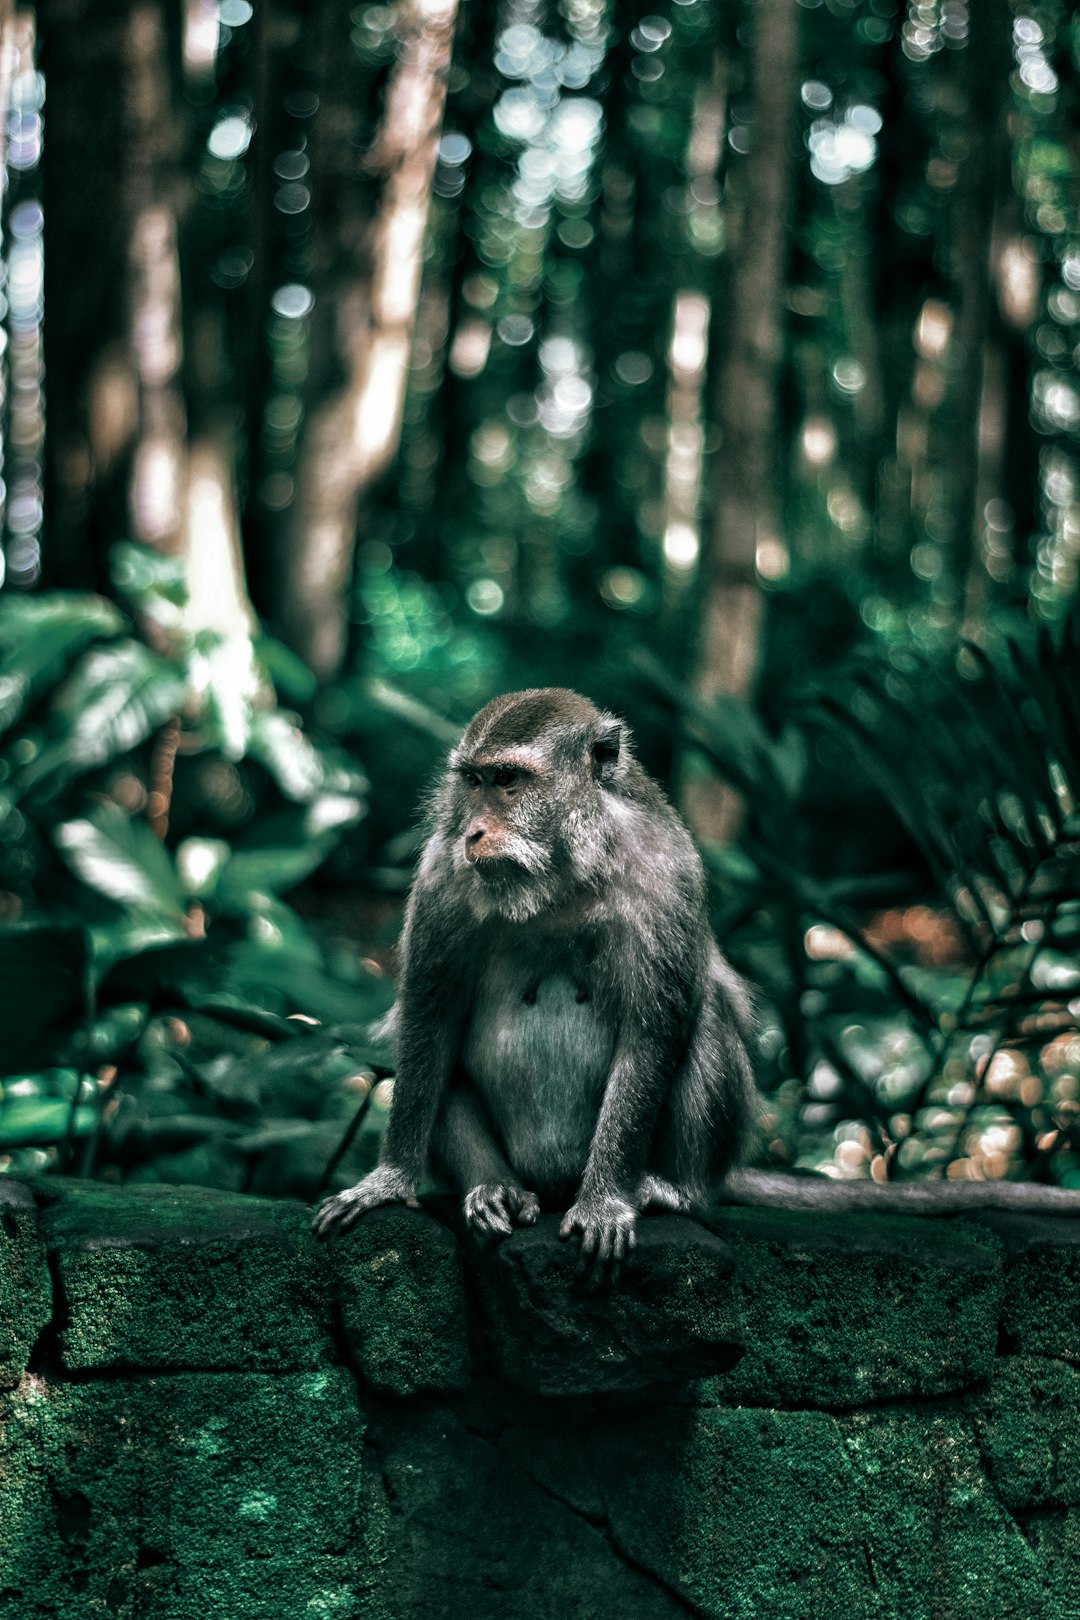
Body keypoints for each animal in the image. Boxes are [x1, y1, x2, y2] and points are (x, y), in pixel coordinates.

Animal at [312, 683, 761, 1276]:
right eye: (473, 781)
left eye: (507, 779)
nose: (474, 832)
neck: (560, 877)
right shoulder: (440, 878)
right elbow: (429, 1020)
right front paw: (388, 1181)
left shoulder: (670, 874)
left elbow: (651, 1036)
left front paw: (604, 1203)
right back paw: (492, 1188)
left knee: (702, 1014)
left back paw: (676, 1191)